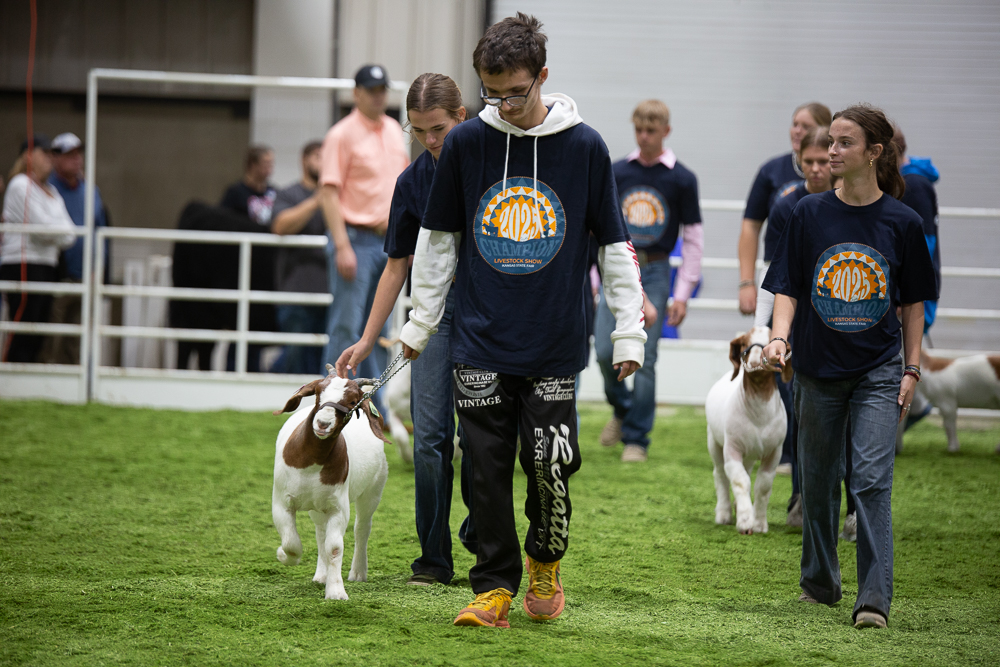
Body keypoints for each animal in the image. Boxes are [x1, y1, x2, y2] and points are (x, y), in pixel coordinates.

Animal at [271, 366, 389, 600]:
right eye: (318, 393)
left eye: (353, 401)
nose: (323, 423)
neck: (311, 462)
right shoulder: (281, 502)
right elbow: (291, 543)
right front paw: (282, 555)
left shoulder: (337, 507)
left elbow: (334, 547)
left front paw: (336, 592)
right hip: (316, 505)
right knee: (320, 532)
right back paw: (321, 575)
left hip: (373, 490)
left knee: (362, 528)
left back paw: (358, 572)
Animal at [705, 327, 792, 534]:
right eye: (744, 343)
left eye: (770, 342)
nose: (755, 360)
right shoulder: (732, 448)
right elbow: (739, 481)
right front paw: (745, 521)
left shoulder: (774, 452)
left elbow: (763, 486)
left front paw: (759, 523)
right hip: (714, 441)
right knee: (720, 475)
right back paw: (724, 513)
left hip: (751, 453)